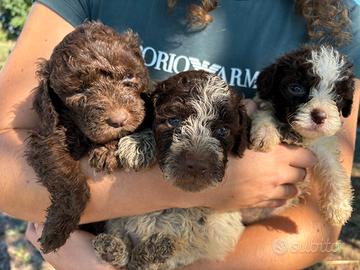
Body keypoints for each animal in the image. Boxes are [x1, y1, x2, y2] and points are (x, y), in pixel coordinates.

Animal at [25, 21, 152, 253]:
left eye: (128, 78)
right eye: (80, 91)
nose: (119, 119)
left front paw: (108, 151)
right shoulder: (47, 138)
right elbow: (67, 177)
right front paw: (56, 229)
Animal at [248, 44, 354, 226]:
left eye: (338, 96)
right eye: (296, 88)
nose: (319, 116)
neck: (297, 134)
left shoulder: (322, 148)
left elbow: (334, 171)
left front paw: (338, 207)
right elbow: (266, 112)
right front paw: (265, 133)